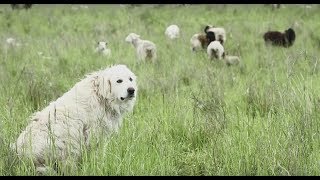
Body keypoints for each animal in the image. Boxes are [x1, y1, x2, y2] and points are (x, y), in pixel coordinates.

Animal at [10, 64, 138, 174]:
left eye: (130, 79)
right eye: (119, 81)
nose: (132, 90)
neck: (100, 95)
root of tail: (19, 157)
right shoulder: (94, 135)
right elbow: (97, 155)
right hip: (65, 142)